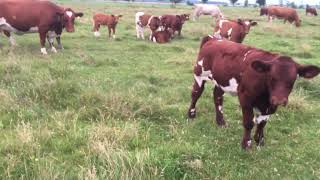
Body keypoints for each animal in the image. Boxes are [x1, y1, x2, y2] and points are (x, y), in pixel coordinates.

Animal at [188, 35, 320, 150]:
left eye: (293, 80)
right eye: (272, 77)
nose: (279, 100)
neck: (265, 96)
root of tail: (213, 39)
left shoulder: (269, 106)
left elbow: (262, 123)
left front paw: (260, 140)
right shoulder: (245, 97)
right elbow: (249, 122)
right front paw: (246, 144)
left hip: (221, 80)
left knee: (217, 97)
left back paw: (221, 122)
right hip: (199, 74)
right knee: (196, 93)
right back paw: (191, 114)